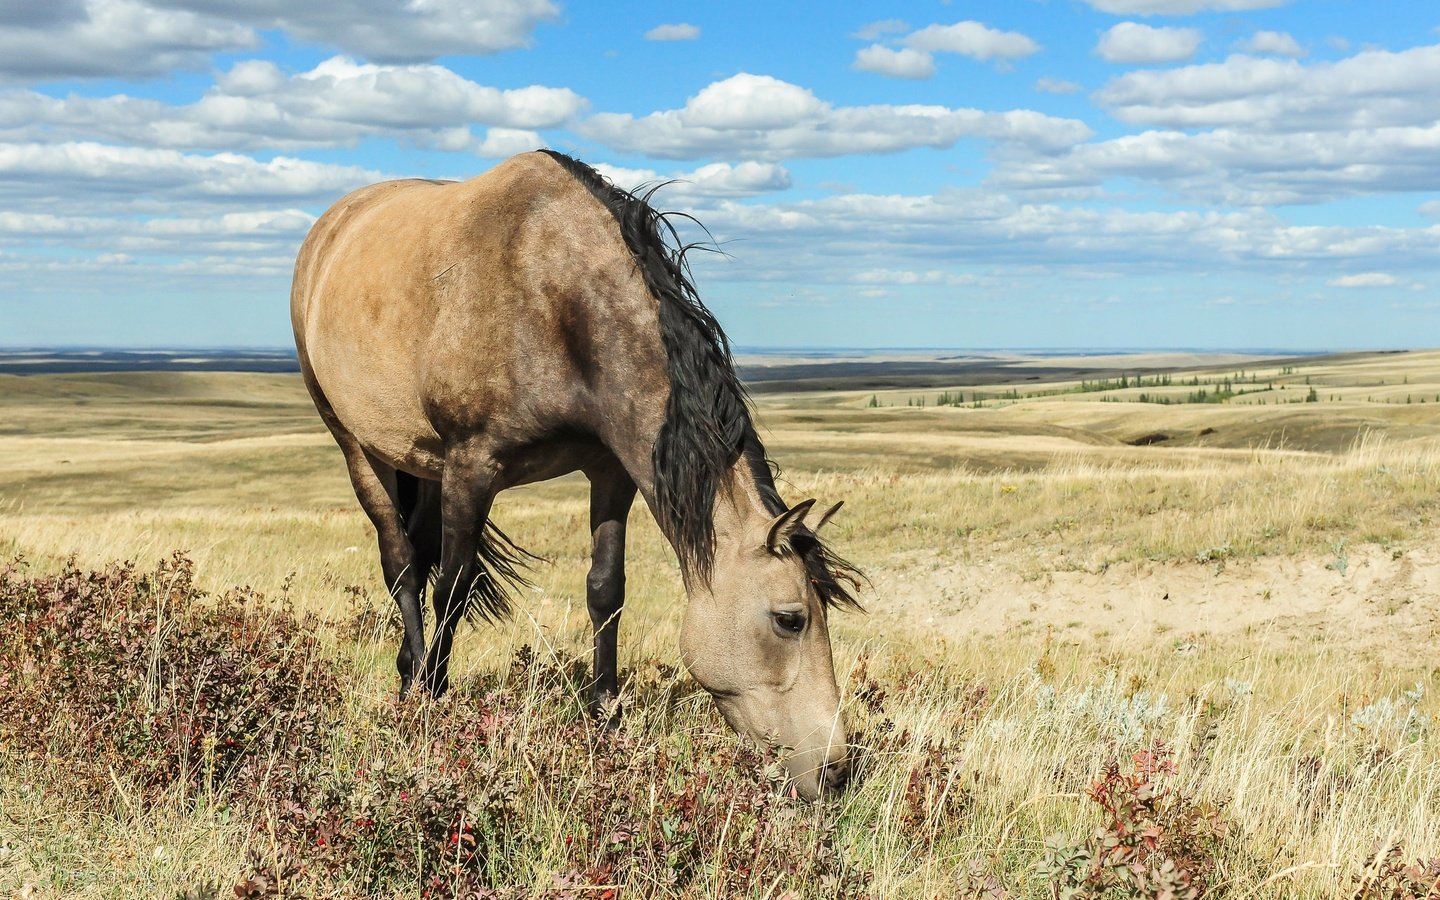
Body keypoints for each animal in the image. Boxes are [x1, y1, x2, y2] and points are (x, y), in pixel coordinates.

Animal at [286, 151, 858, 794]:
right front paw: (433, 705)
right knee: (402, 563)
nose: (836, 772)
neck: (555, 295)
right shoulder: (471, 468)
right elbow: (452, 590)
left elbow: (606, 589)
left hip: (420, 460)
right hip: (357, 445)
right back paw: (412, 684)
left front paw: (604, 717)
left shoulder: (611, 469)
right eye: (790, 620)